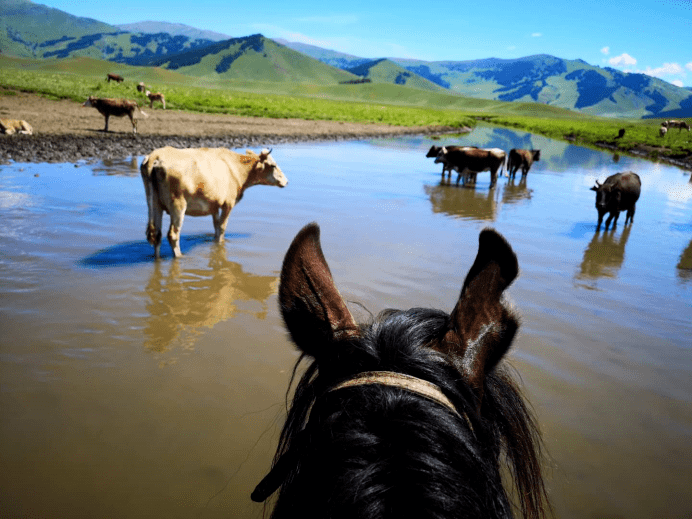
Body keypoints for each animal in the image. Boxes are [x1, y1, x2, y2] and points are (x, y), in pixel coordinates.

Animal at [142, 146, 288, 260]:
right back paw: (179, 257)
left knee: (157, 234)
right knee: (172, 234)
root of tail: (157, 154)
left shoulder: (214, 205)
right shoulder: (228, 203)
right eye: (273, 165)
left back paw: (157, 259)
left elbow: (216, 227)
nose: (286, 181)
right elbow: (222, 227)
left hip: (155, 204)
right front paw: (220, 245)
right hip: (178, 204)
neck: (237, 169)